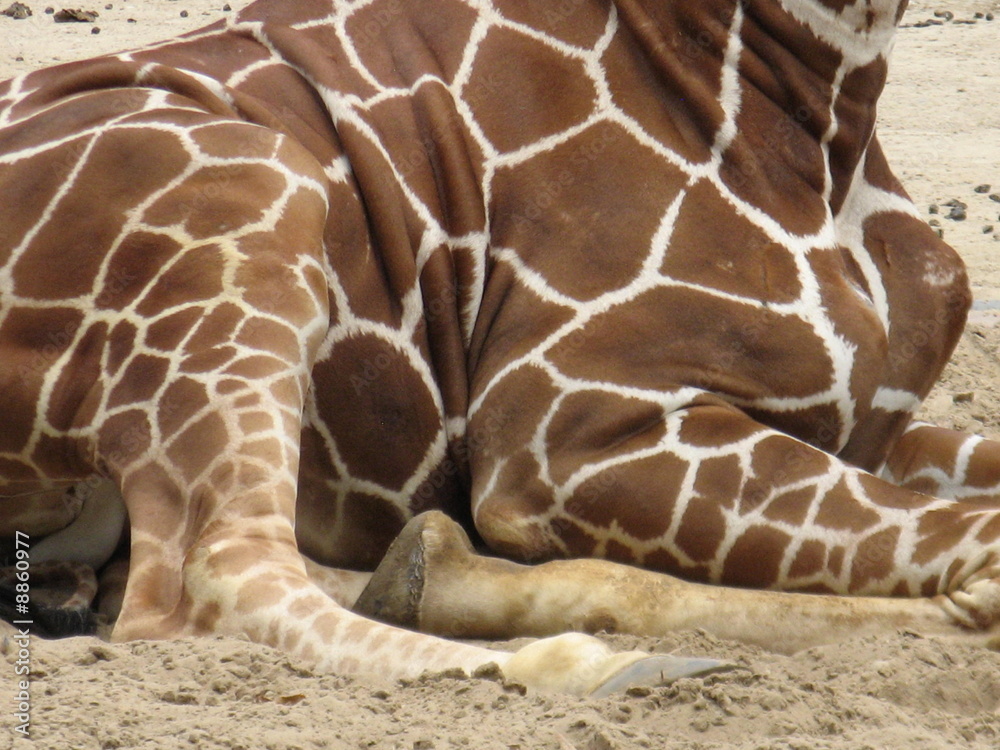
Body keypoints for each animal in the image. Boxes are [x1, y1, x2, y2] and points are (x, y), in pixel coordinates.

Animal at [2, 0, 1000, 694]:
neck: (821, 107)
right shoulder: (569, 431)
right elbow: (982, 552)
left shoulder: (868, 426)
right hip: (255, 182)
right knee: (208, 582)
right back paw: (583, 664)